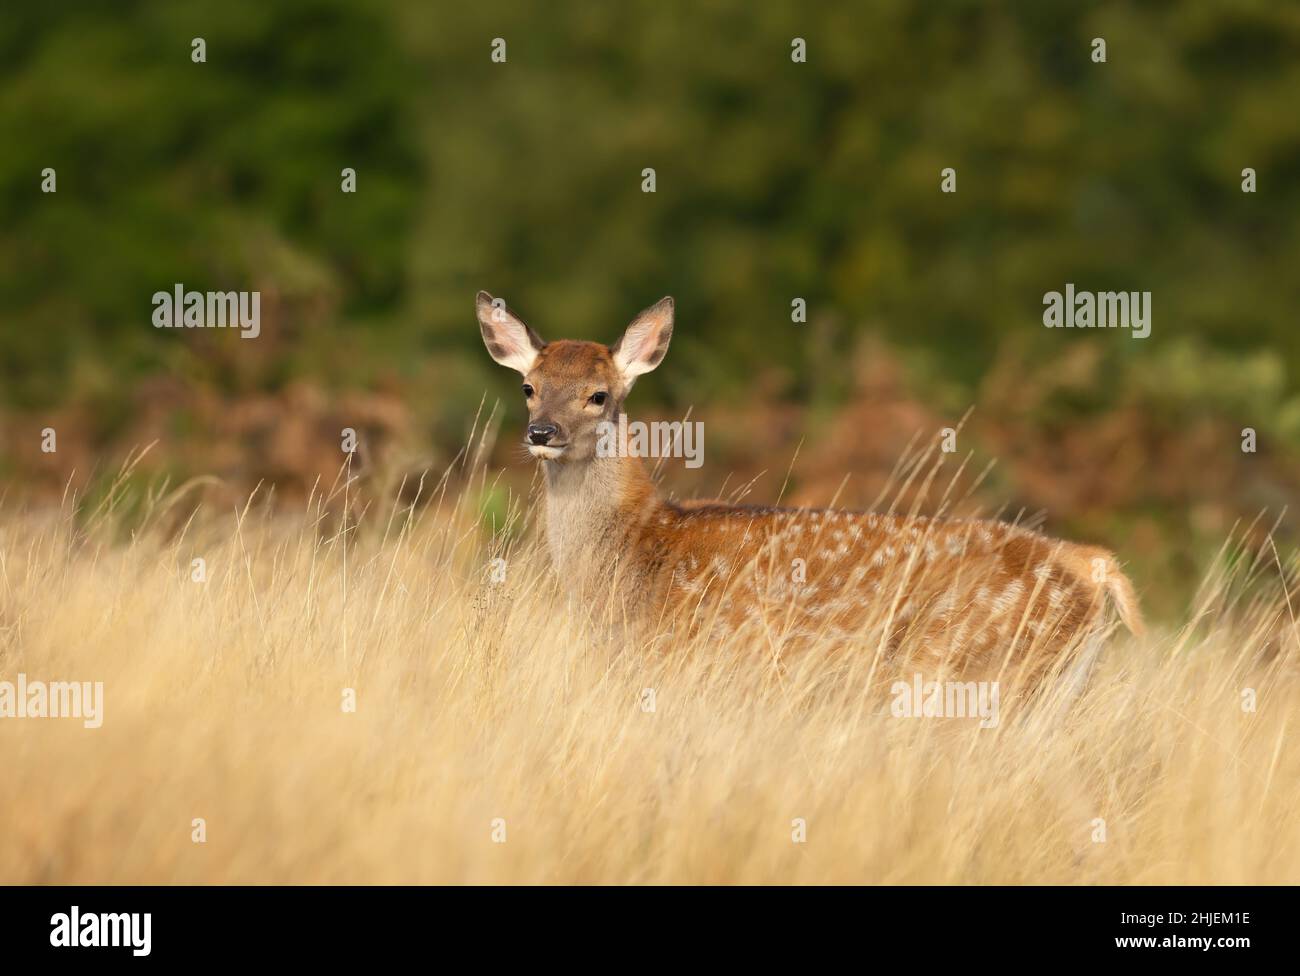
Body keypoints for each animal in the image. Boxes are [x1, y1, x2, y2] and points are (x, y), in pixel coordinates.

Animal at [477, 290, 1143, 686]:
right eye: (529, 387)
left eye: (599, 395)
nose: (542, 432)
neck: (637, 547)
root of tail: (1091, 564)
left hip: (970, 667)